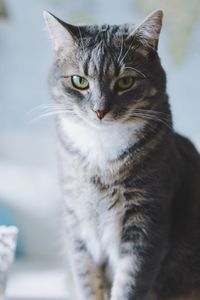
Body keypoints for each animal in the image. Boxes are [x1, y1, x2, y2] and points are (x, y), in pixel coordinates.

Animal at [43, 9, 200, 300]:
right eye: (79, 81)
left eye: (125, 81)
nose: (99, 110)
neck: (101, 150)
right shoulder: (77, 226)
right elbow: (87, 281)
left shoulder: (146, 225)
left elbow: (129, 283)